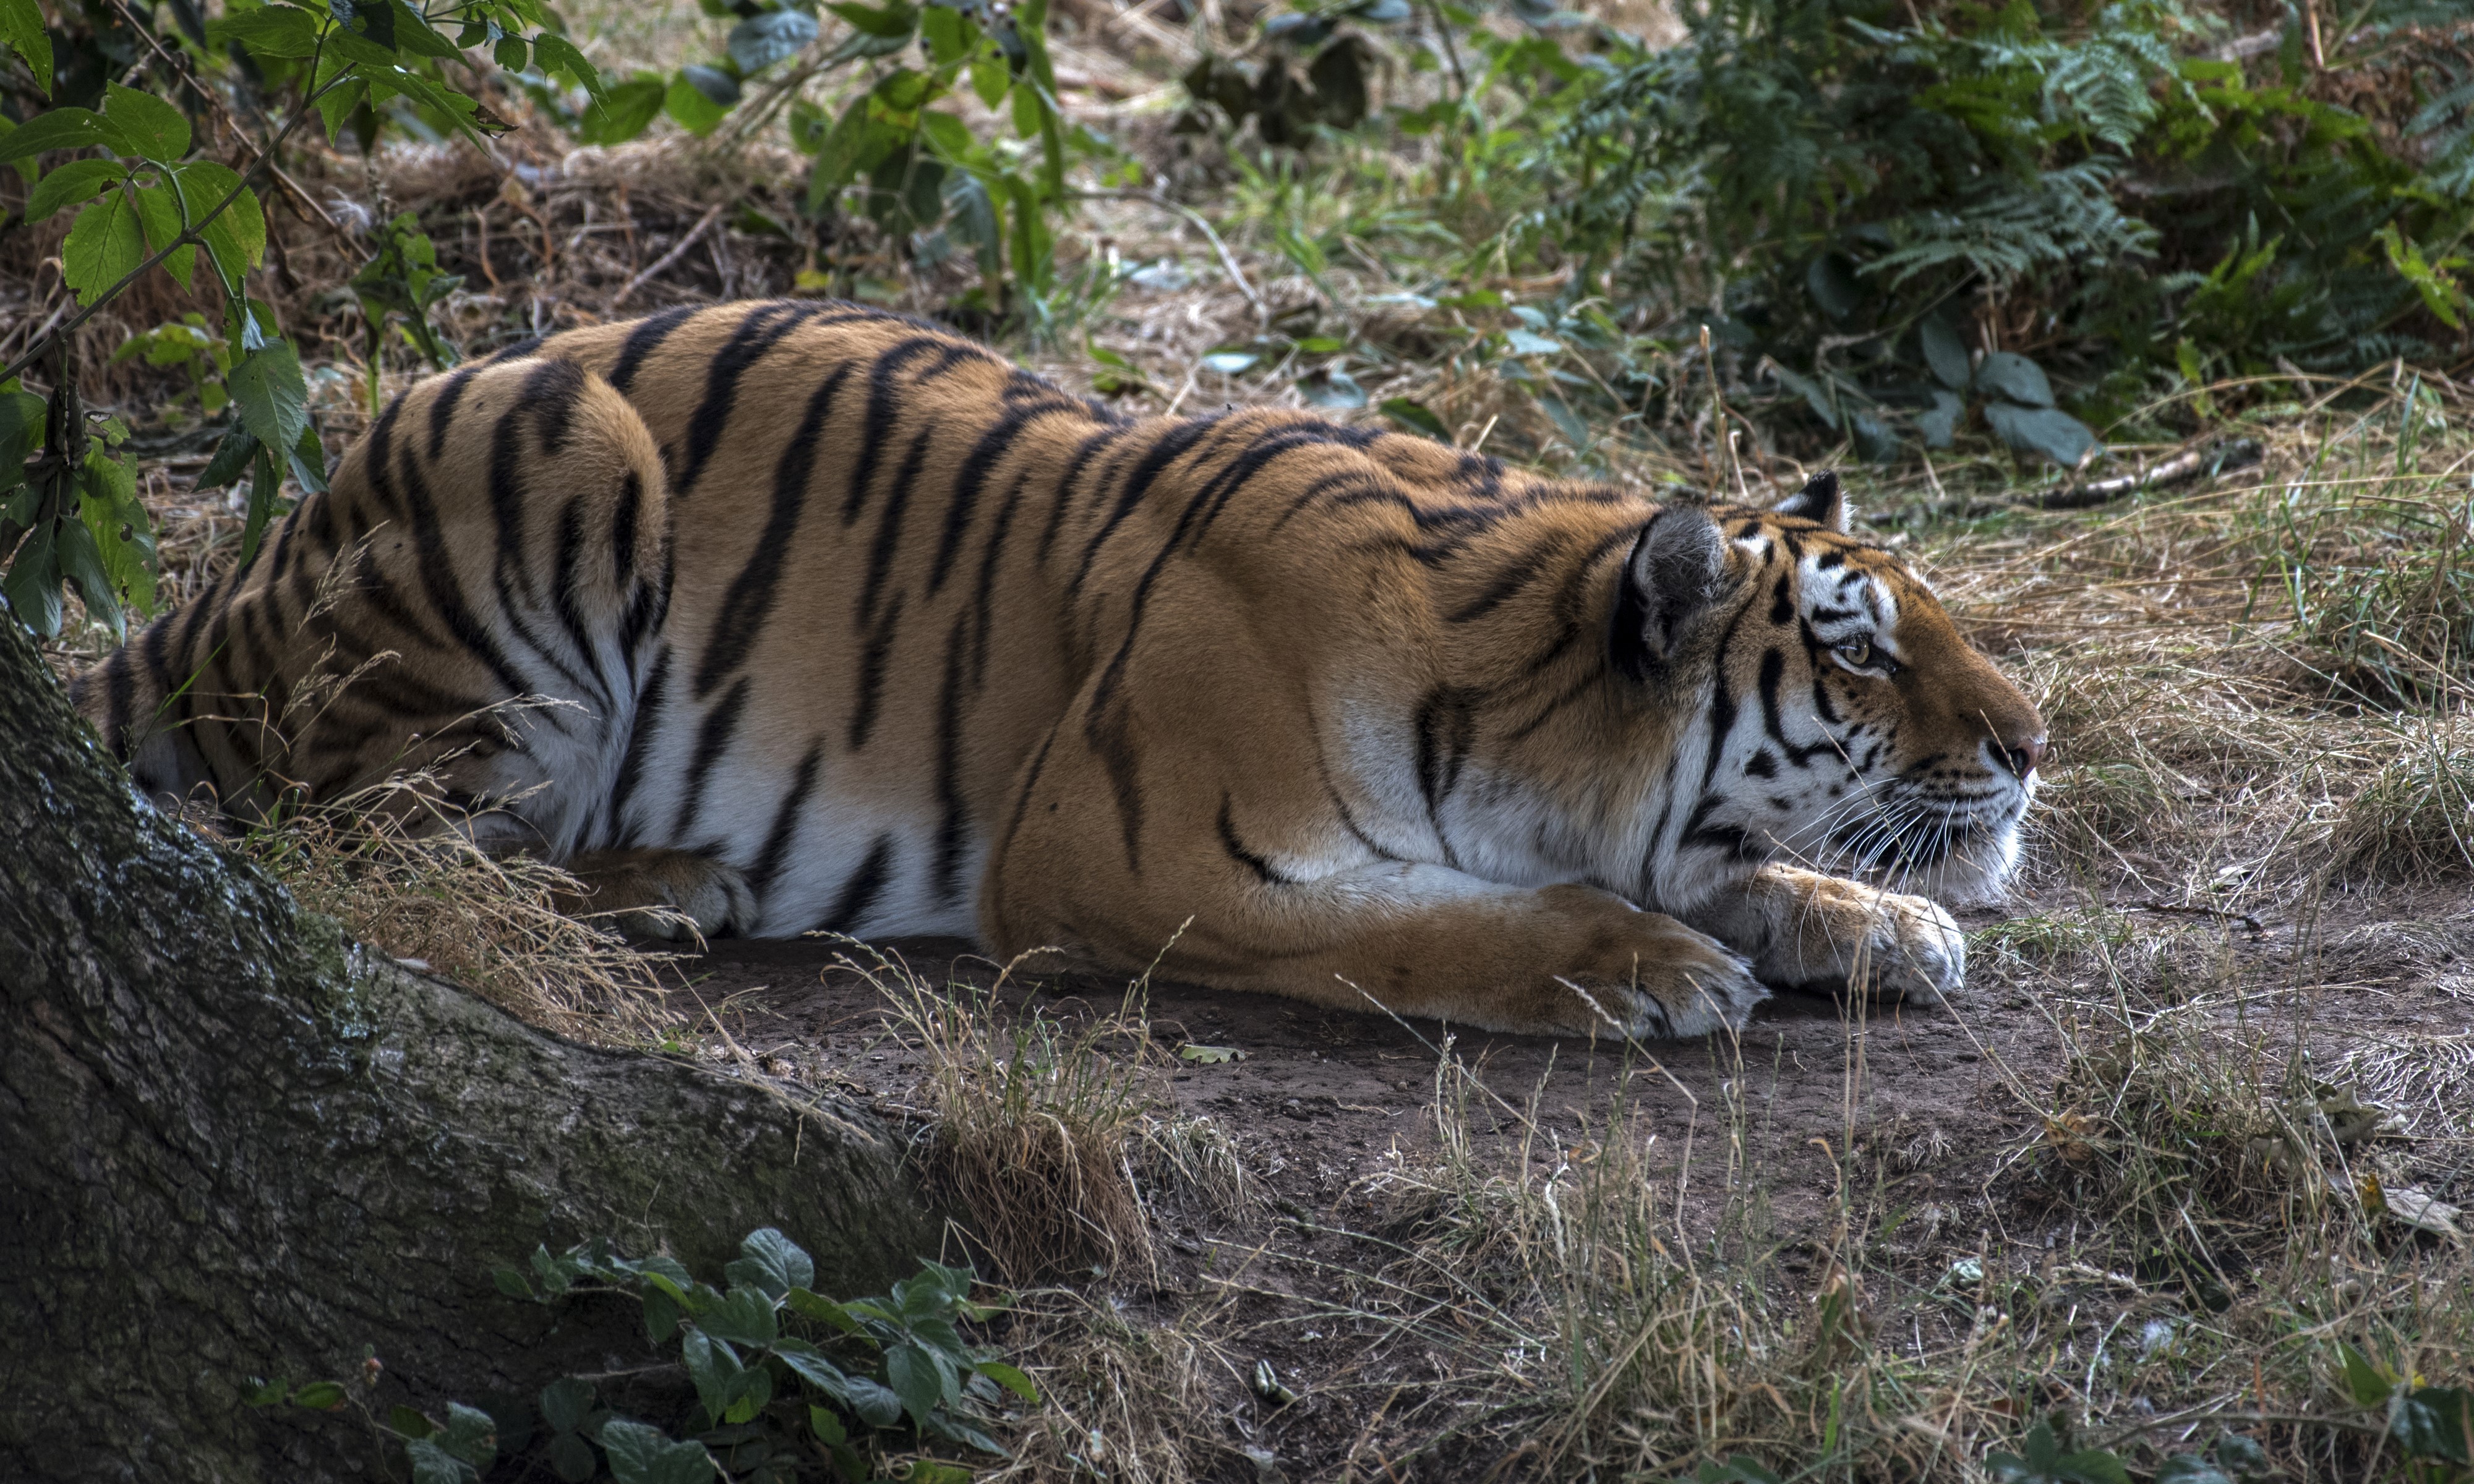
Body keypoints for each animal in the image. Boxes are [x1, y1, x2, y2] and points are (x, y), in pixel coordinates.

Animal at [74, 299, 2046, 1040]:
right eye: (1859, 654)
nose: (2034, 744)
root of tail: (253, 557)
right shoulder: (1136, 854)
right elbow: (1449, 923)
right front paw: (1651, 966)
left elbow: (1759, 869)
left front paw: (1879, 923)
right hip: (549, 451)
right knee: (360, 839)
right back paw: (666, 884)